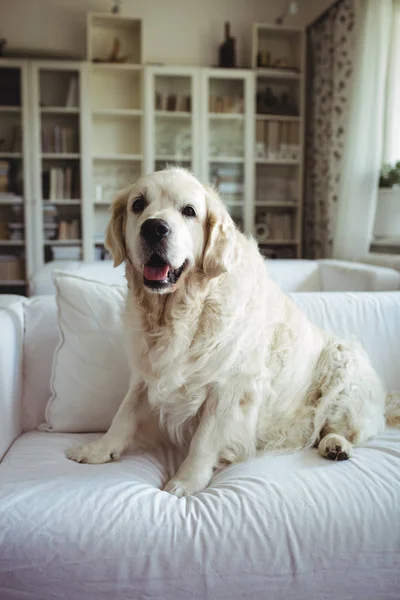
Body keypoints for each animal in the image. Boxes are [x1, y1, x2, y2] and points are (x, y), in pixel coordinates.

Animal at [67, 168, 390, 496]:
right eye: (138, 204)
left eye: (189, 211)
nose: (154, 228)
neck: (179, 314)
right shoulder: (145, 375)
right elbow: (124, 413)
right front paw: (99, 449)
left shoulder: (231, 386)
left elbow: (204, 439)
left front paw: (186, 481)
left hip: (343, 361)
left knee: (341, 427)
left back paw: (336, 445)